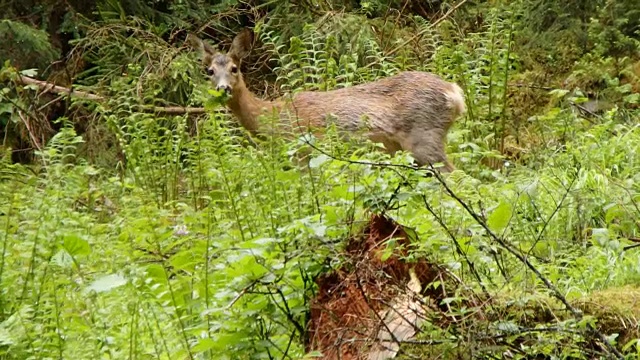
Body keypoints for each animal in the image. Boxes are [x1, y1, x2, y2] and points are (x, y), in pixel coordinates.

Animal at [190, 28, 464, 172]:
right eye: (209, 71)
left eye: (234, 68)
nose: (223, 88)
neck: (273, 117)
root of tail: (455, 93)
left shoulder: (305, 153)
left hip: (424, 137)